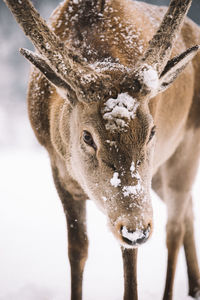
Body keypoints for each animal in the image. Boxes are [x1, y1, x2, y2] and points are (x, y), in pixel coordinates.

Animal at [2, 0, 200, 298]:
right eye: (87, 137)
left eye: (152, 131)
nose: (138, 230)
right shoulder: (59, 172)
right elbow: (77, 250)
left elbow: (129, 264)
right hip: (157, 177)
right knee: (187, 210)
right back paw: (194, 286)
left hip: (185, 148)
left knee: (174, 227)